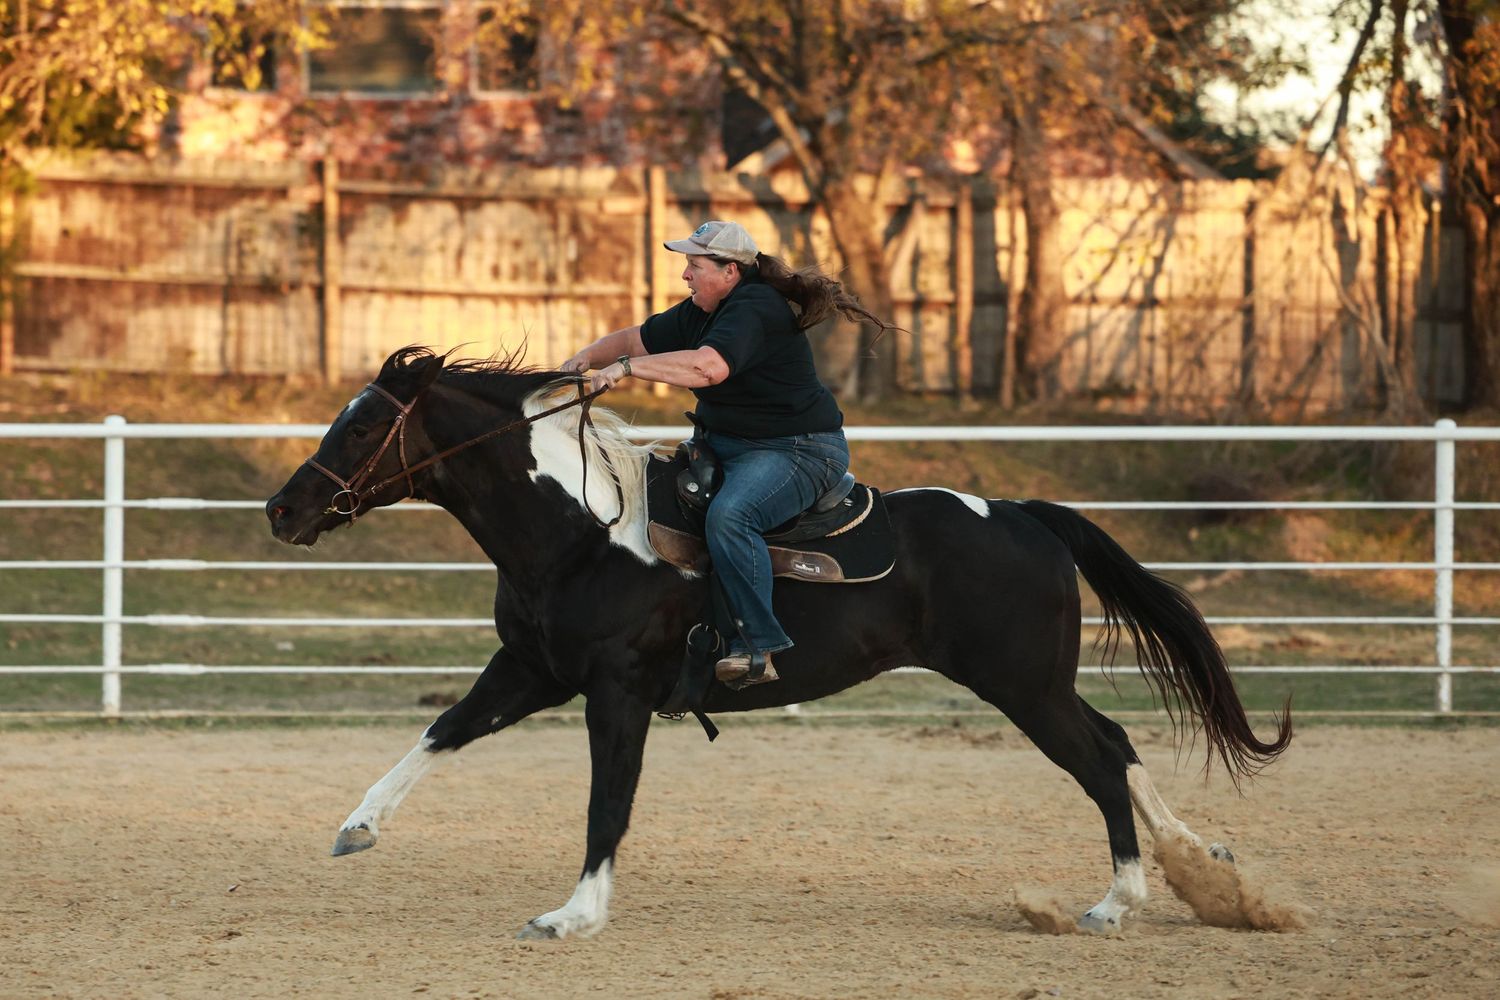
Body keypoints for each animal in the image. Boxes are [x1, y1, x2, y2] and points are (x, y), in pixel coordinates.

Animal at [265, 345, 1292, 940]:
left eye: (365, 422)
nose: (281, 509)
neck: (584, 529)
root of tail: (1022, 513)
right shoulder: (533, 671)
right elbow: (441, 731)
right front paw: (358, 826)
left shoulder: (616, 693)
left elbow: (606, 804)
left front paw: (576, 914)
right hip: (1035, 682)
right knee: (1116, 746)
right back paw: (1203, 870)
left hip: (1024, 689)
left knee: (1099, 763)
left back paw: (1120, 901)